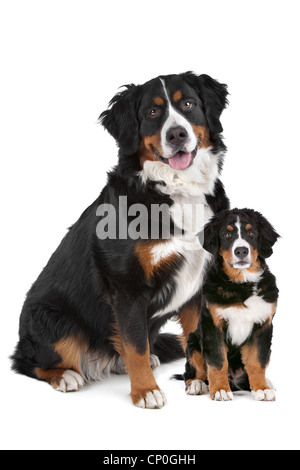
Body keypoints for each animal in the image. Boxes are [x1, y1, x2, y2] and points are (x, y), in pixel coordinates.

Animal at [10, 70, 229, 408]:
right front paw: (146, 390)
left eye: (188, 104)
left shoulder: (197, 284)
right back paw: (65, 376)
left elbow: (196, 339)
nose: (177, 135)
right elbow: (135, 346)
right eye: (152, 112)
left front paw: (200, 381)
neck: (176, 190)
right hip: (53, 320)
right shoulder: (127, 287)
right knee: (27, 361)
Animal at [184, 208, 280, 400]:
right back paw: (196, 385)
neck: (242, 284)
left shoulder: (263, 326)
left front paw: (262, 388)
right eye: (227, 234)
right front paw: (220, 389)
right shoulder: (212, 324)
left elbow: (257, 361)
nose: (241, 251)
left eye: (251, 233)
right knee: (192, 372)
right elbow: (217, 361)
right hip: (193, 341)